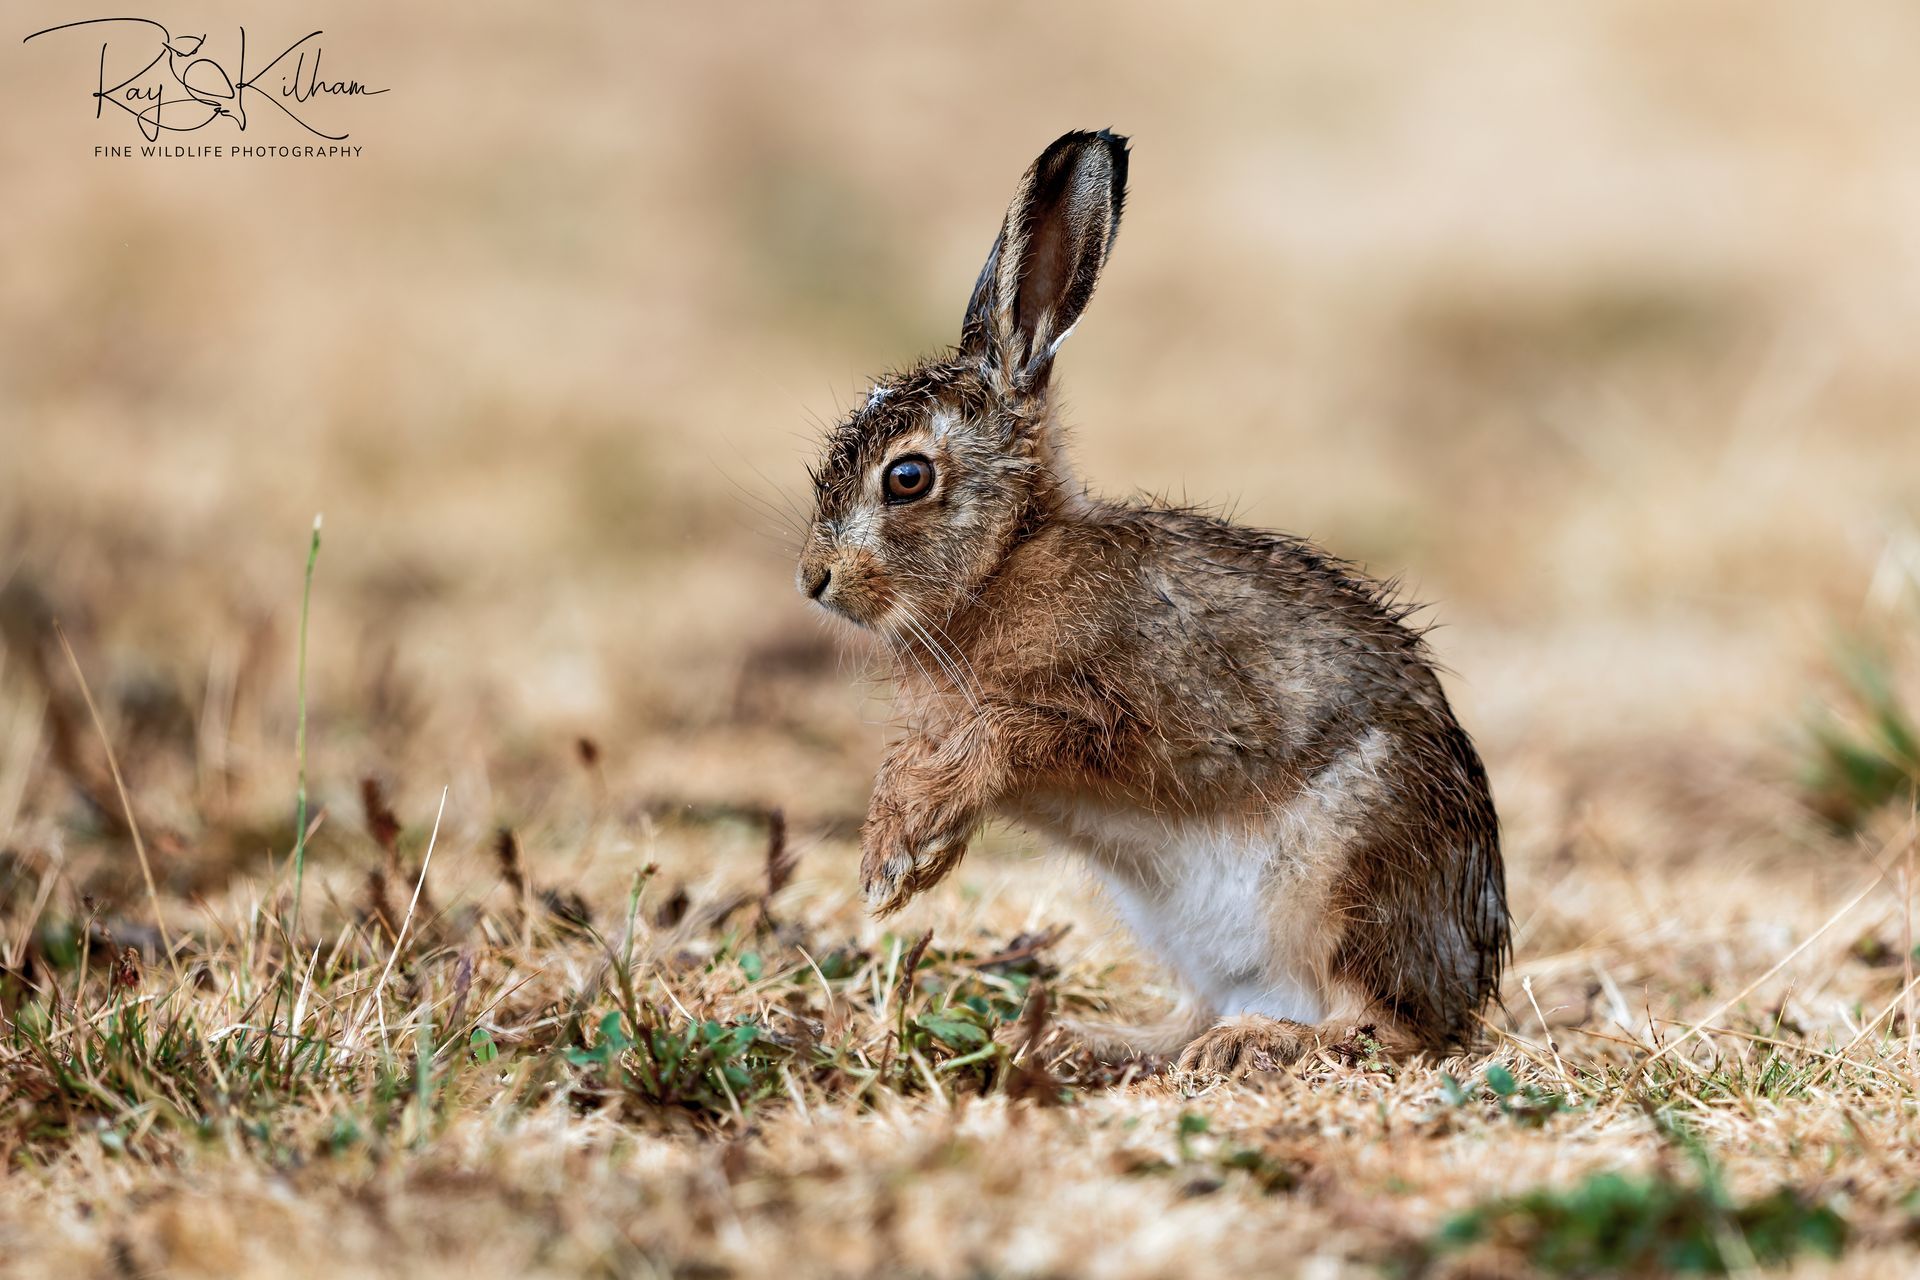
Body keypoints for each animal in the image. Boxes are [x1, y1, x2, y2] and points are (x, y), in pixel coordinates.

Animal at [796, 129, 1508, 1074]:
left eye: (906, 477)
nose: (813, 577)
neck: (1008, 561)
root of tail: (1467, 979)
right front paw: (894, 851)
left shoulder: (1157, 717)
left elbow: (1009, 731)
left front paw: (903, 861)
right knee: (1192, 1016)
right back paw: (1081, 1038)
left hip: (1351, 873)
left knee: (1384, 1026)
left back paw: (1257, 1040)